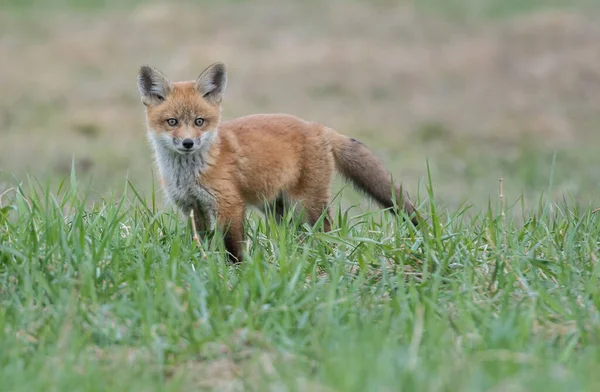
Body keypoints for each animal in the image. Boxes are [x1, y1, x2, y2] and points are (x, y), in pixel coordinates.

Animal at [137, 62, 418, 262]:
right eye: (172, 122)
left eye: (199, 122)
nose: (188, 143)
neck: (188, 174)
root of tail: (318, 127)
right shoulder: (193, 208)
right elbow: (202, 241)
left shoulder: (229, 204)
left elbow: (233, 247)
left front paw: (237, 270)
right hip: (278, 208)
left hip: (307, 204)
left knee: (326, 230)